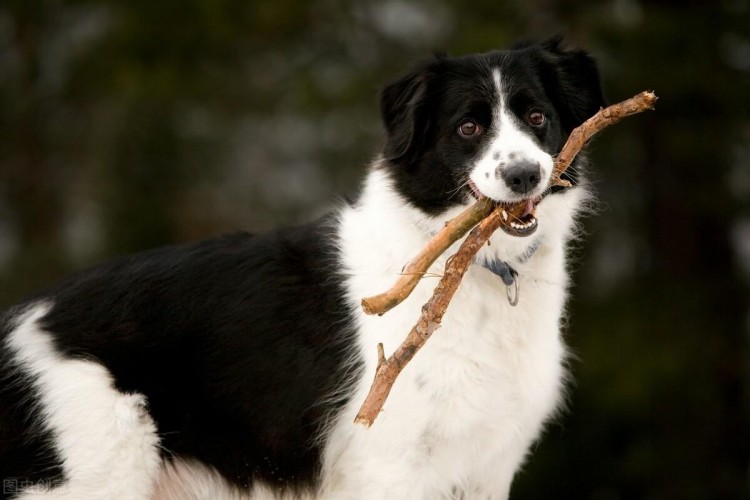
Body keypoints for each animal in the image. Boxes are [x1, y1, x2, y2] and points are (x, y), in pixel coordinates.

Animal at [0, 40, 608, 500]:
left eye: (537, 118)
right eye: (468, 128)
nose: (525, 175)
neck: (475, 270)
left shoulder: (486, 467)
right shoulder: (386, 464)